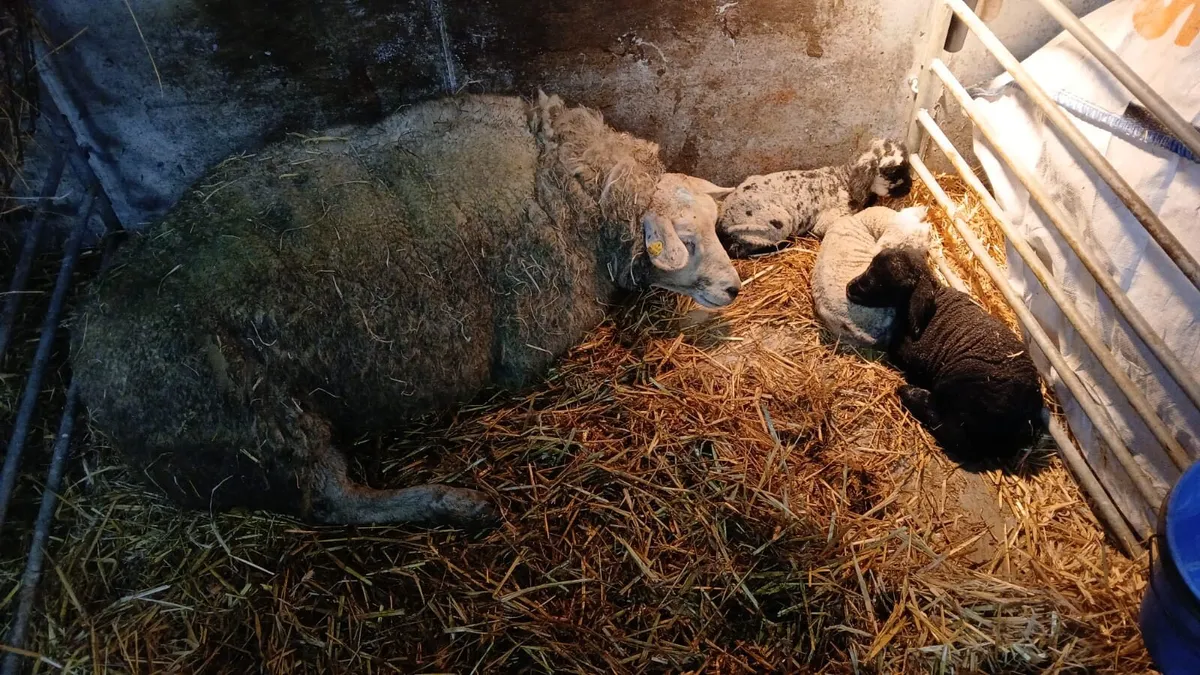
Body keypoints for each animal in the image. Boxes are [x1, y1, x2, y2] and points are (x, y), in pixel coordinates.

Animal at [69, 91, 742, 527]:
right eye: (685, 237)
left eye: (715, 225)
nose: (735, 288)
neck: (576, 188)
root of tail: (92, 376)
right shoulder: (533, 336)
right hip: (262, 423)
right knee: (334, 505)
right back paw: (454, 506)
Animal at [716, 138, 913, 258]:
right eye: (892, 171)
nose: (909, 187)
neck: (843, 180)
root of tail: (723, 219)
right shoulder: (828, 222)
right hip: (772, 224)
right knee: (742, 249)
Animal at [845, 246, 1045, 463]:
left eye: (885, 284)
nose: (850, 288)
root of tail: (1026, 421)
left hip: (966, 391)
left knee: (955, 436)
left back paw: (909, 393)